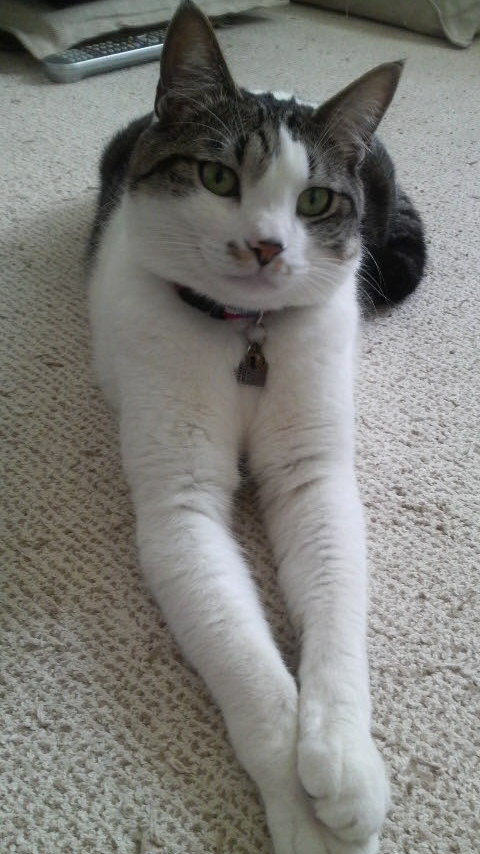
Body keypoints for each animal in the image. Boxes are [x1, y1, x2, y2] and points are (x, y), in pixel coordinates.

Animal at [88, 2, 426, 852]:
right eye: (218, 178)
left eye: (314, 202)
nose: (268, 245)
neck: (246, 336)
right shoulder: (178, 508)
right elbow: (245, 662)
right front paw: (304, 816)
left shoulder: (315, 478)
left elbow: (337, 617)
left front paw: (345, 762)